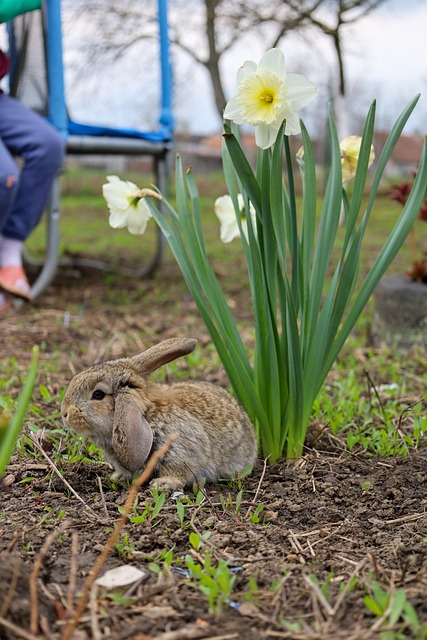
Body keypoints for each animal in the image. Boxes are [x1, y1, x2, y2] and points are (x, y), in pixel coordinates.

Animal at [61, 337, 257, 491]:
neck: (148, 416)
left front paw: (163, 484)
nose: (64, 413)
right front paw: (118, 477)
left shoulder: (180, 451)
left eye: (98, 395)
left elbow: (179, 471)